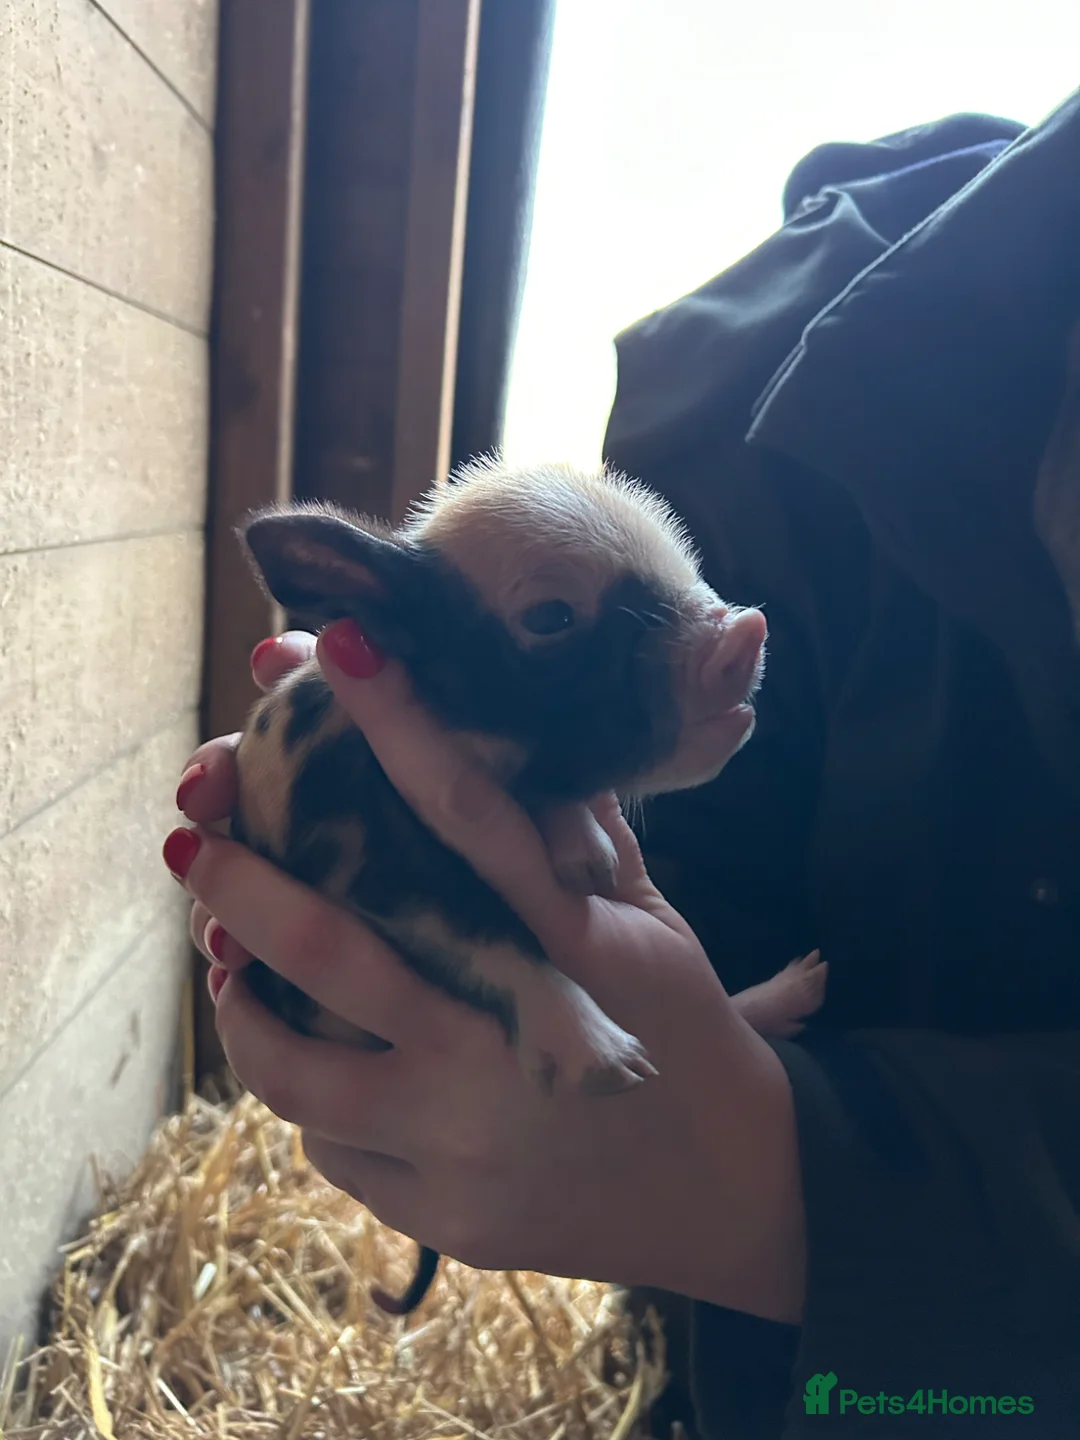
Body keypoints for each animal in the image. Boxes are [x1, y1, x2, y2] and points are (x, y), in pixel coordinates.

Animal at [229, 456, 828, 1315]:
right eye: (549, 616)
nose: (746, 628)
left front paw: (586, 860)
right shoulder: (372, 873)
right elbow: (491, 936)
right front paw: (612, 1065)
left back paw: (803, 984)